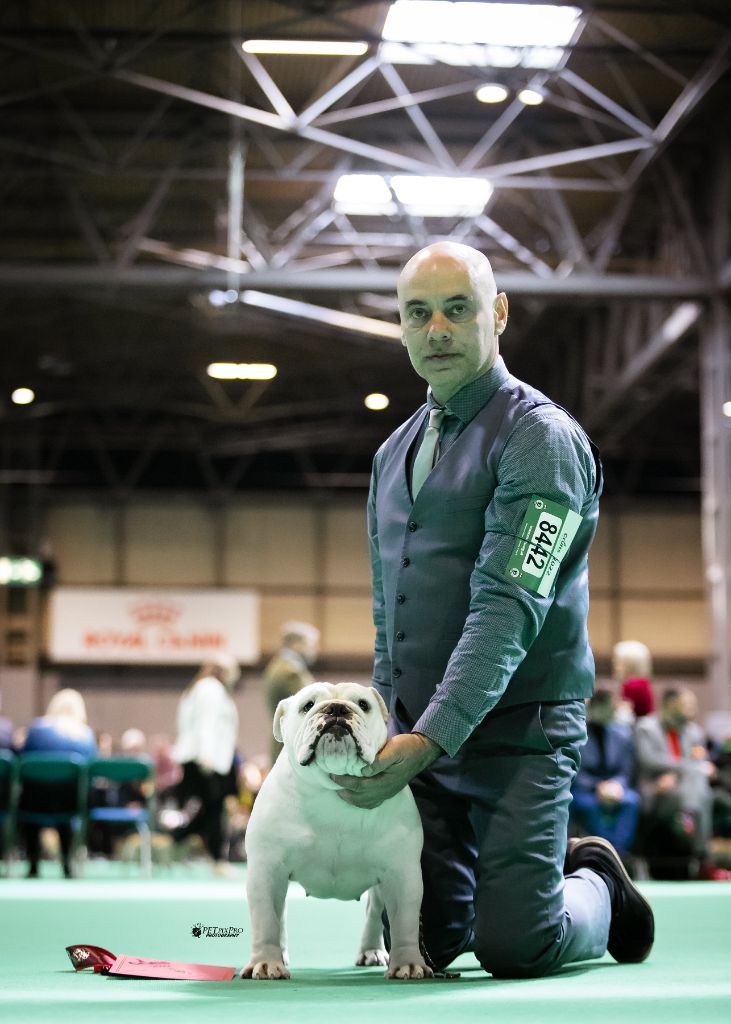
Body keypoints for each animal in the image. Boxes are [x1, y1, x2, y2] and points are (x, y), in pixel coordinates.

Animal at [241, 681, 432, 980]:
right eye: (307, 705)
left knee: (374, 914)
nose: (337, 709)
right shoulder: (266, 870)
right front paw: (266, 962)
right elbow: (265, 920)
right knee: (279, 916)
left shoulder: (402, 874)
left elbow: (405, 923)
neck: (329, 790)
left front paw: (409, 963)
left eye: (363, 704)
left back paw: (371, 951)